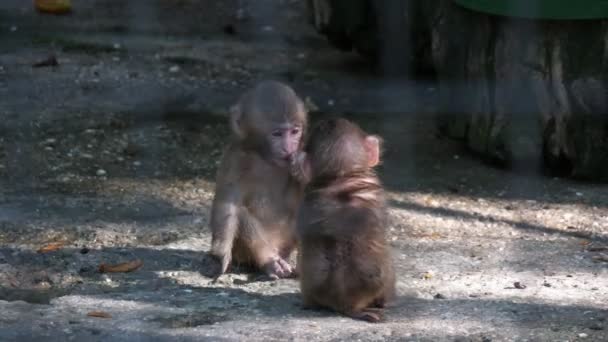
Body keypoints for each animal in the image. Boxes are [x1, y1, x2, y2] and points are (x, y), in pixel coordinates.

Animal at [210, 81, 306, 280]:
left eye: (295, 131)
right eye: (277, 134)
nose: (289, 148)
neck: (265, 157)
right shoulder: (234, 158)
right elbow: (227, 203)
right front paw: (221, 255)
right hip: (247, 252)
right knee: (241, 214)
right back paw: (270, 263)